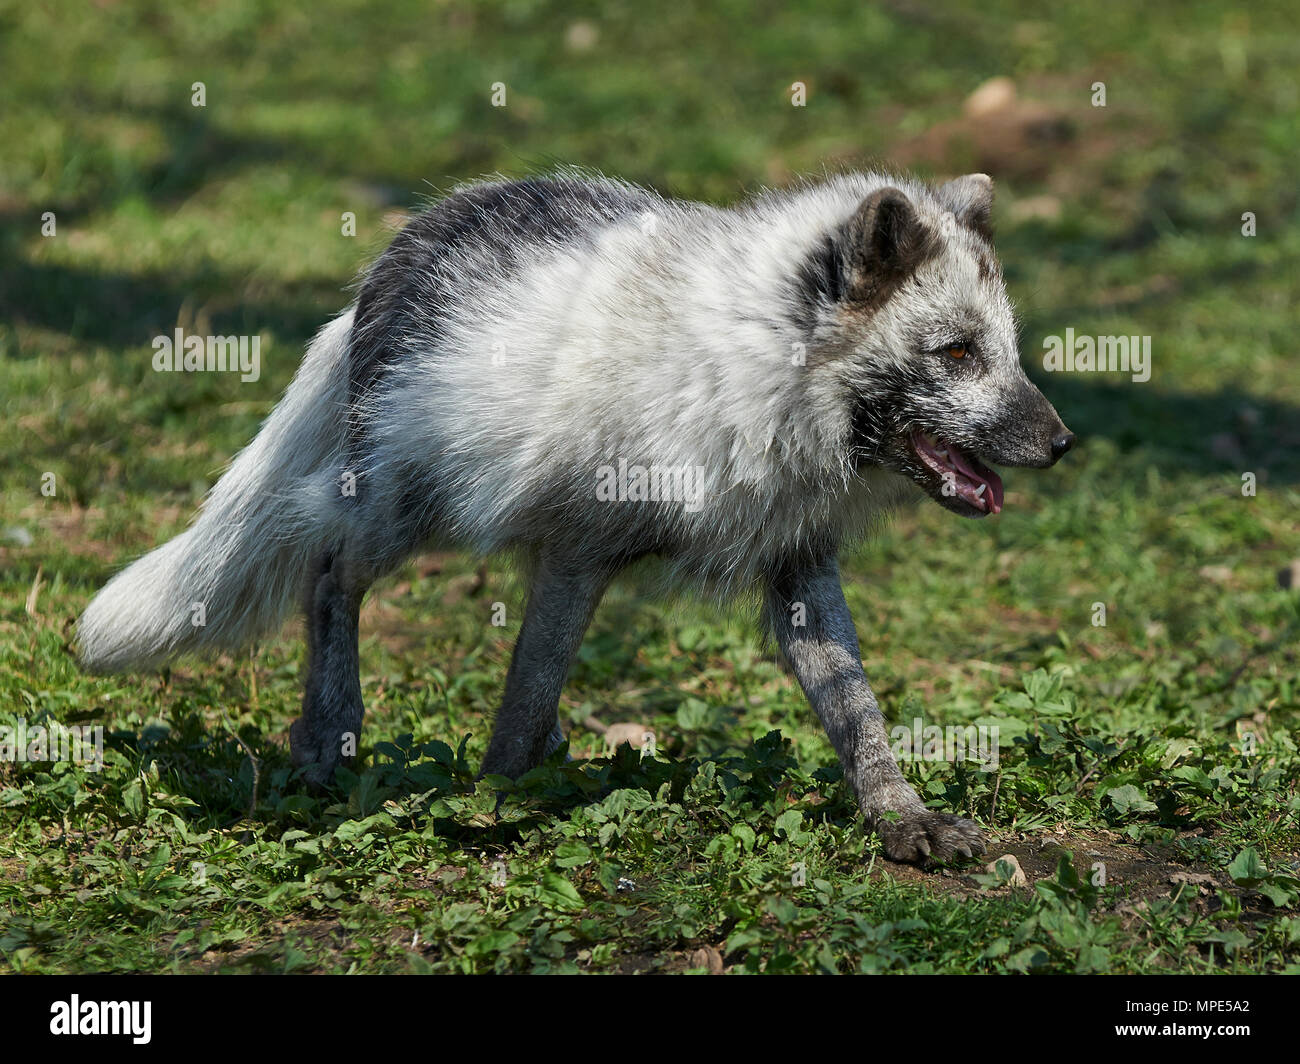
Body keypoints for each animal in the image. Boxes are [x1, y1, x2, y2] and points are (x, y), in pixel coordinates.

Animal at [77, 169, 1074, 865]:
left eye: (1007, 351)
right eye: (956, 353)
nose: (1063, 442)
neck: (758, 370)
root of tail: (394, 256)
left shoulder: (798, 561)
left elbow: (856, 709)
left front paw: (900, 817)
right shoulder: (579, 551)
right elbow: (526, 684)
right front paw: (491, 805)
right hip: (403, 510)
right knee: (327, 573)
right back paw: (329, 742)